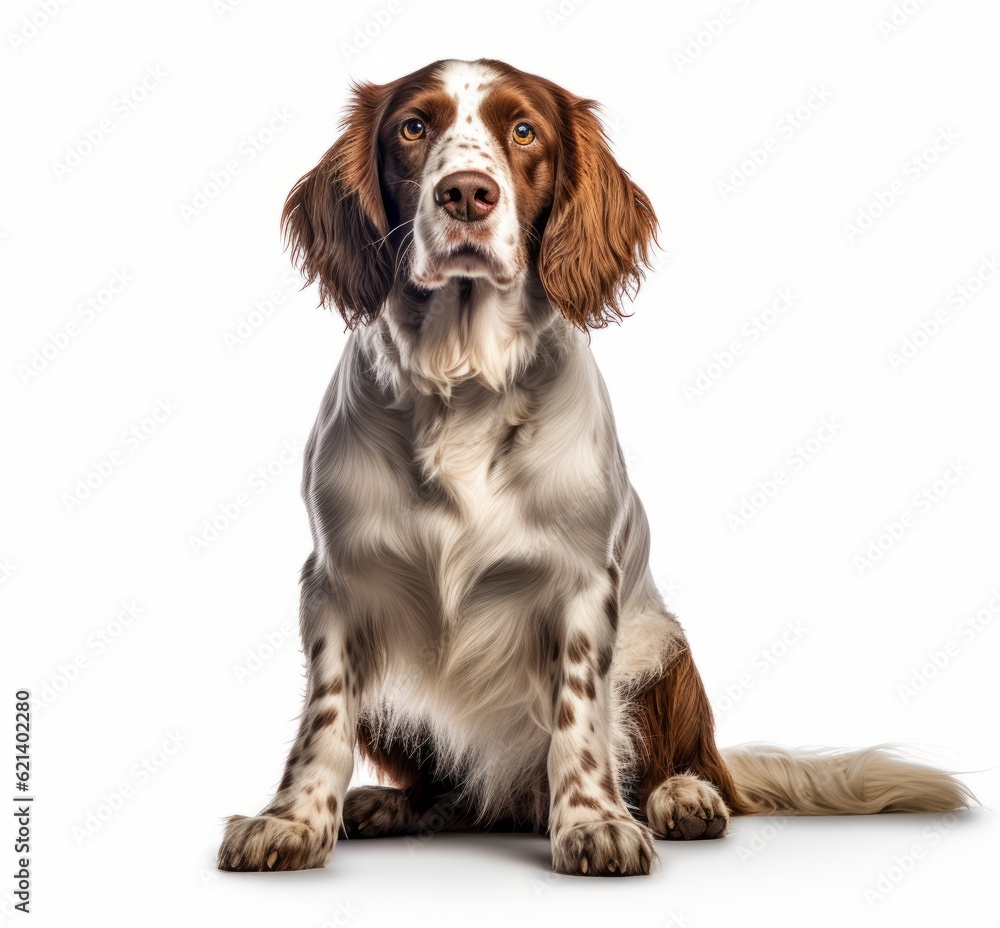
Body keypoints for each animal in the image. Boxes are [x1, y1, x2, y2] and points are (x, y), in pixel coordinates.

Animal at [217, 59, 968, 876]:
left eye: (524, 131)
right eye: (414, 127)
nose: (467, 194)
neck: (465, 383)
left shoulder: (581, 587)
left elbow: (579, 717)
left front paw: (593, 823)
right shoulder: (338, 583)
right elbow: (323, 721)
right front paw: (292, 822)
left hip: (664, 650)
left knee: (679, 762)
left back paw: (684, 799)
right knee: (454, 795)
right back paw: (391, 805)